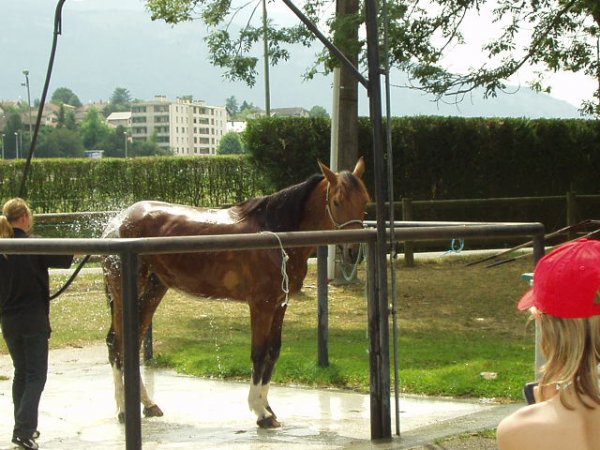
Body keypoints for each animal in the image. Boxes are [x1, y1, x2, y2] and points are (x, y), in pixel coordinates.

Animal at [101, 159, 368, 428]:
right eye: (337, 201)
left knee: (132, 340)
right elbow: (259, 353)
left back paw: (148, 404)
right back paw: (123, 410)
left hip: (154, 289)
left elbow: (273, 352)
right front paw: (261, 412)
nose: (353, 252)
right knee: (117, 342)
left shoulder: (280, 304)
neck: (275, 233)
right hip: (125, 289)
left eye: (365, 201)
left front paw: (268, 408)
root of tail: (118, 221)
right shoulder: (261, 305)